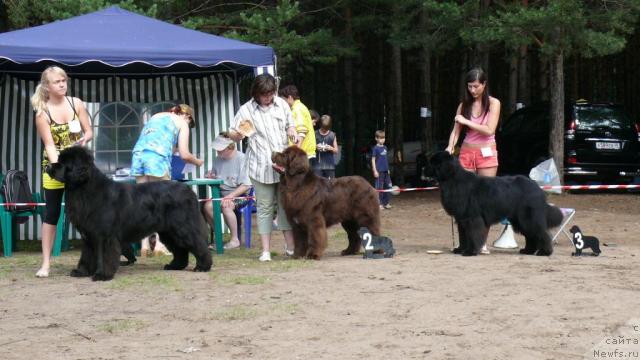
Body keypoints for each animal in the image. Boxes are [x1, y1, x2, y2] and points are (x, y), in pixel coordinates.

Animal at [48, 147, 212, 282]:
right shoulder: (88, 235)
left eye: (64, 162)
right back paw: (175, 266)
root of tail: (189, 190)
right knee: (180, 249)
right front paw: (81, 272)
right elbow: (87, 255)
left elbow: (104, 256)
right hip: (169, 231)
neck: (85, 188)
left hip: (182, 227)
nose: (48, 166)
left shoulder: (105, 235)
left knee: (198, 244)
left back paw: (202, 267)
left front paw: (102, 275)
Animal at [430, 151, 560, 256]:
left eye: (433, 163)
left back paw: (545, 252)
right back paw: (528, 251)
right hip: (520, 219)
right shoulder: (462, 219)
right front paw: (460, 249)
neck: (453, 179)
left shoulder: (472, 218)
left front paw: (470, 251)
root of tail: (537, 187)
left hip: (528, 218)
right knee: (531, 235)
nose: (425, 169)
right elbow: (463, 236)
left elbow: (471, 235)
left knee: (541, 233)